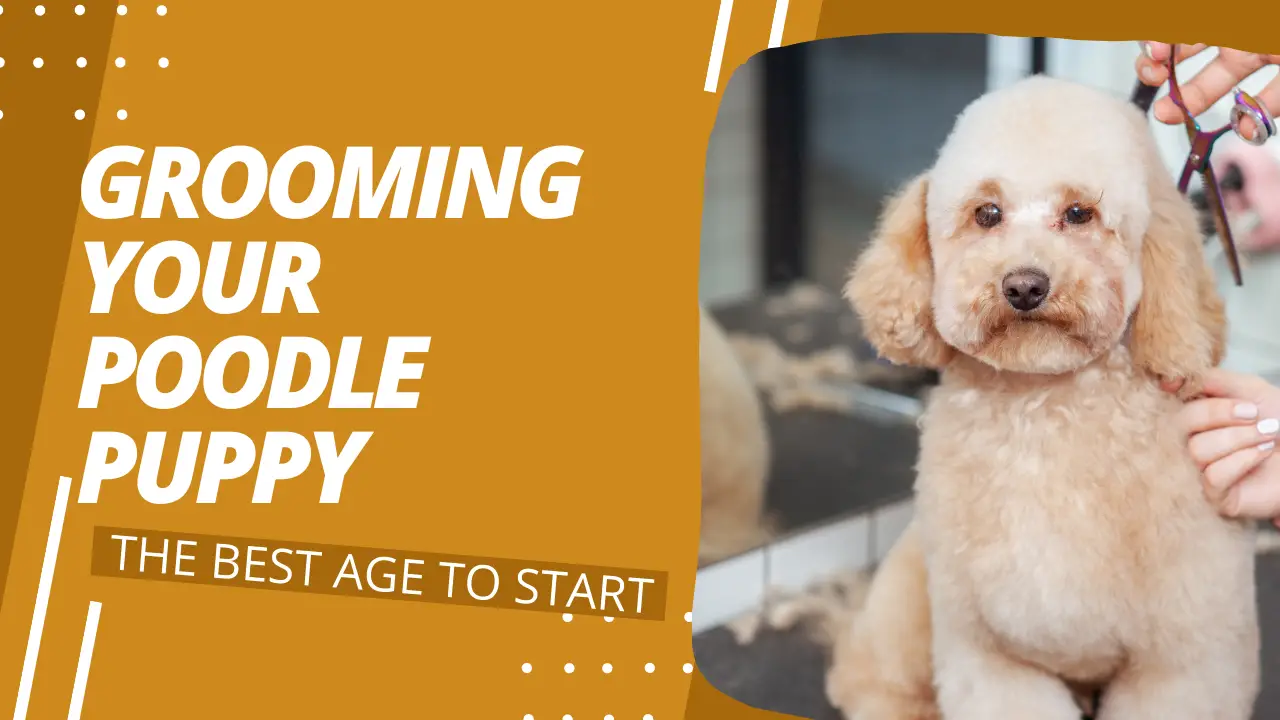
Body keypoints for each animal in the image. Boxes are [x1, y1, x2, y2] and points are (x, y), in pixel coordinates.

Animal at [829, 77, 1259, 717]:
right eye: (987, 213)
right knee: (869, 681)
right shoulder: (987, 652)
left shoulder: (1184, 660)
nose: (1025, 285)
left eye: (1079, 213)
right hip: (908, 597)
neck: (1044, 413)